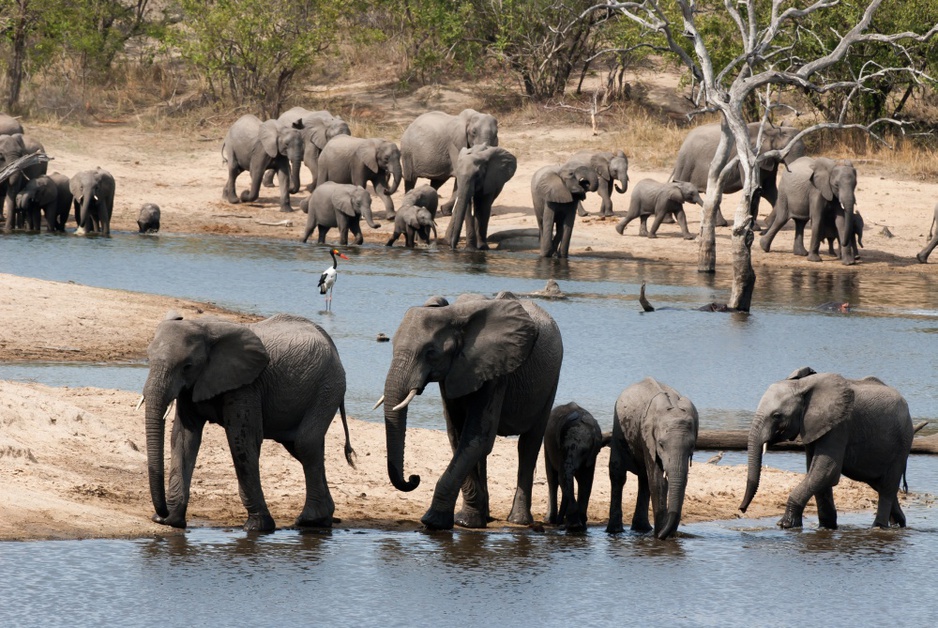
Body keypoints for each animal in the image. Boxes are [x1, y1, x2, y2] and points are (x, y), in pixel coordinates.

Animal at [140, 312, 354, 532]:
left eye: (187, 366)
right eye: (148, 358)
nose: (161, 513)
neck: (204, 328)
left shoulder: (246, 385)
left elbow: (242, 440)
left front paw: (257, 527)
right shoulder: (192, 387)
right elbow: (184, 438)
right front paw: (170, 521)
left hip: (329, 387)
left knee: (306, 444)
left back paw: (310, 520)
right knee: (302, 447)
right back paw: (323, 519)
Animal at [374, 292, 564, 528]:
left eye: (430, 353)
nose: (413, 478)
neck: (453, 314)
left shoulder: (495, 372)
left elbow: (476, 439)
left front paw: (434, 522)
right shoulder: (454, 373)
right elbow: (458, 437)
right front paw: (467, 522)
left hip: (551, 381)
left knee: (528, 444)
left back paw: (518, 521)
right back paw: (487, 517)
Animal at [608, 376, 696, 544]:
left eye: (692, 446)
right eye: (661, 444)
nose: (666, 535)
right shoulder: (648, 437)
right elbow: (658, 481)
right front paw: (660, 537)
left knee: (644, 480)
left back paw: (642, 529)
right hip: (618, 430)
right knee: (618, 474)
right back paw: (615, 531)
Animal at [668, 120, 808, 226]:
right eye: (785, 150)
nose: (766, 221)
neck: (772, 130)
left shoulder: (769, 160)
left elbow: (769, 190)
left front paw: (766, 224)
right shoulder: (747, 157)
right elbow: (755, 188)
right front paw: (756, 227)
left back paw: (720, 224)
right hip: (686, 163)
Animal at [736, 368, 912, 528]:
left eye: (776, 416)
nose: (741, 509)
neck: (802, 385)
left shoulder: (839, 426)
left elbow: (825, 470)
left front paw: (785, 524)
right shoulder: (813, 427)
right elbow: (815, 472)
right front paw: (827, 527)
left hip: (902, 444)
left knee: (888, 486)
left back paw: (879, 526)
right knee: (879, 484)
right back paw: (899, 523)